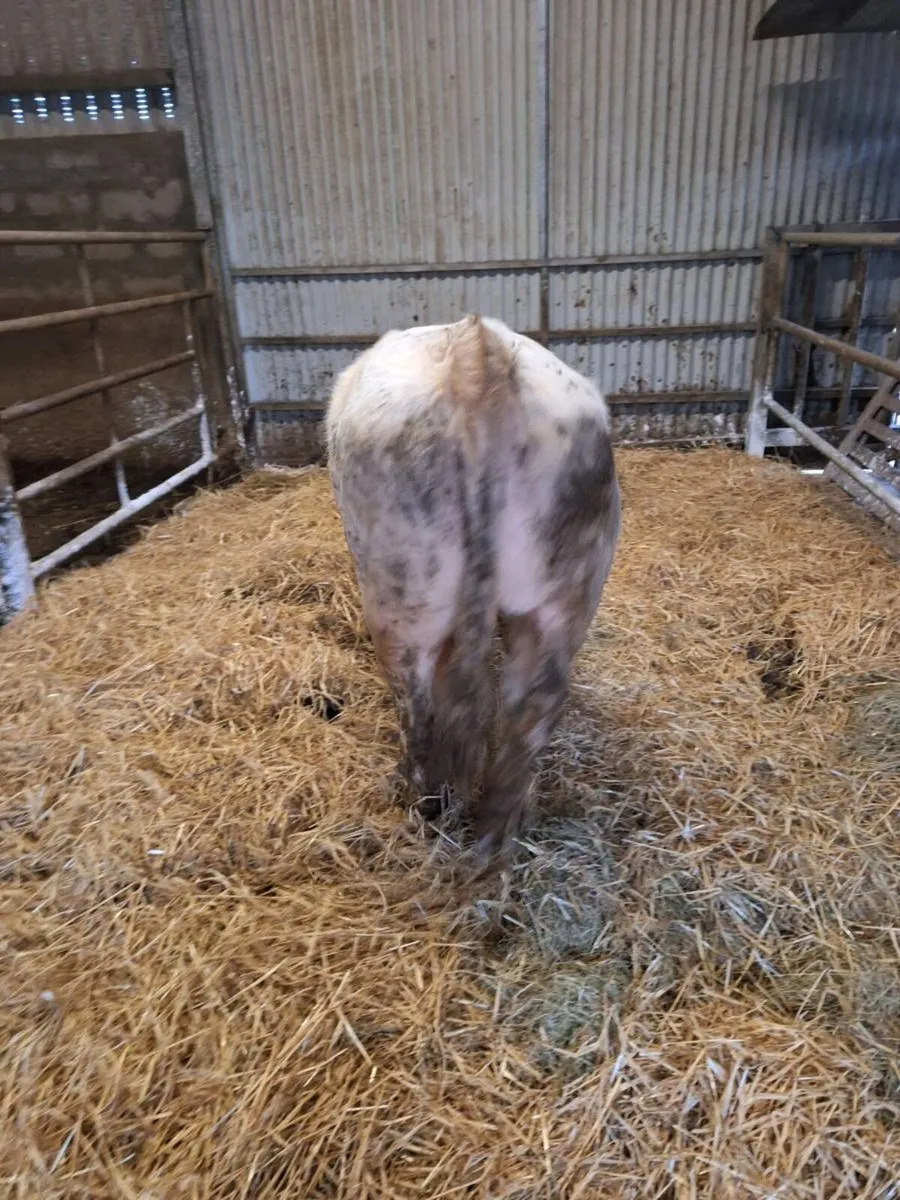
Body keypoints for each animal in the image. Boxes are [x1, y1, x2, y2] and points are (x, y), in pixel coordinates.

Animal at [326, 315, 620, 860]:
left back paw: (425, 804)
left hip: (402, 596)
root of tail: (477, 346)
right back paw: (499, 835)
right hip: (567, 593)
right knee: (533, 707)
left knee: (416, 705)